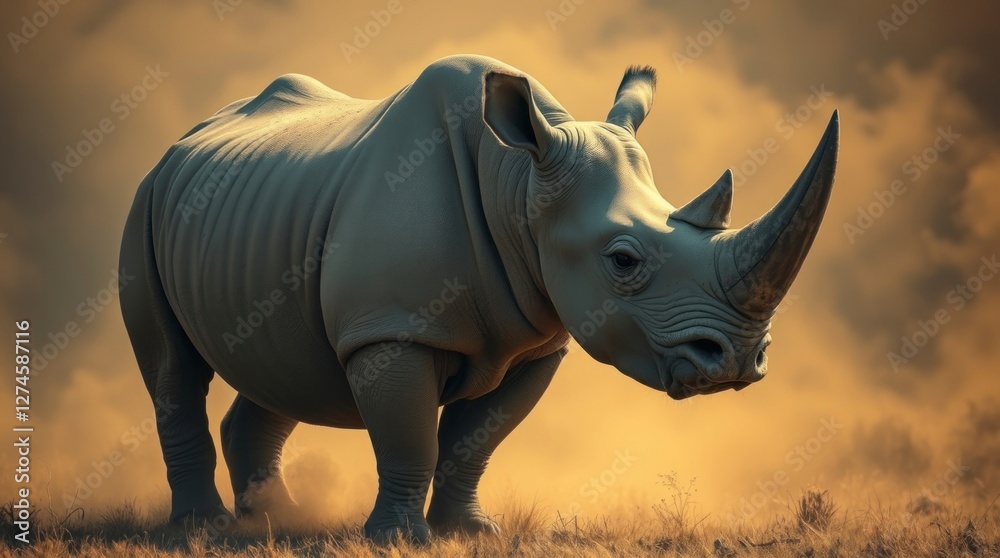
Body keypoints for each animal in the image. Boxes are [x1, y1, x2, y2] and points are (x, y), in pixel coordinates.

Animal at [119, 54, 838, 542]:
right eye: (624, 261)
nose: (737, 362)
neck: (520, 182)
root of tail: (188, 137)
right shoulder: (393, 327)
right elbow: (411, 436)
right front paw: (396, 540)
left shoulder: (537, 341)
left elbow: (476, 441)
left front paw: (467, 532)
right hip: (147, 201)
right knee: (173, 369)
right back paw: (200, 529)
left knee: (283, 360)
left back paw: (275, 522)